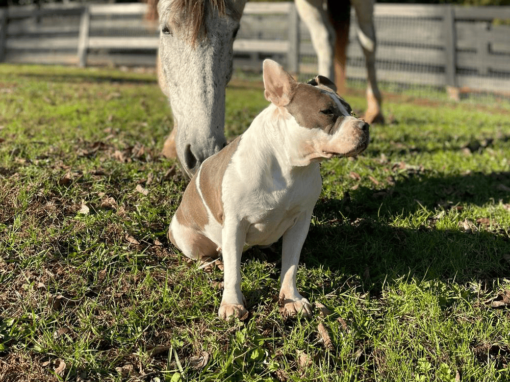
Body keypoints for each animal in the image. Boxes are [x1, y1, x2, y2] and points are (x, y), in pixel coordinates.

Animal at [169, 59, 368, 320]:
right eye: (327, 112)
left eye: (350, 110)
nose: (365, 125)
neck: (290, 164)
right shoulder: (234, 224)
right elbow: (233, 273)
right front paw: (232, 304)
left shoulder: (300, 223)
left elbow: (291, 265)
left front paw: (291, 299)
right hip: (189, 240)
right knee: (209, 255)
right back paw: (215, 261)